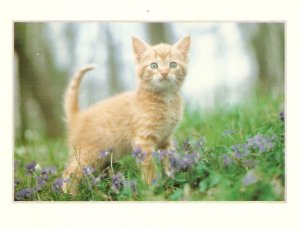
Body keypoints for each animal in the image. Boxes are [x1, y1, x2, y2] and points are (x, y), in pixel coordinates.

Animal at [62, 35, 191, 192]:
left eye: (173, 65)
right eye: (153, 66)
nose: (164, 73)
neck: (166, 99)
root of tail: (78, 116)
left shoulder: (166, 138)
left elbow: (168, 159)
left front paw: (171, 177)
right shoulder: (143, 139)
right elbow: (149, 166)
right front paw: (153, 187)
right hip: (88, 154)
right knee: (69, 172)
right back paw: (69, 194)